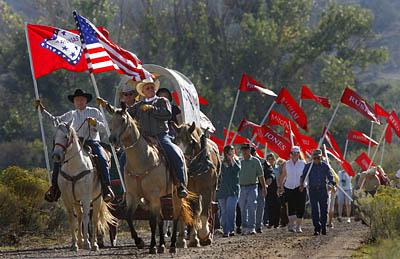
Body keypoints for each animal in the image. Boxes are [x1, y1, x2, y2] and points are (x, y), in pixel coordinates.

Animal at [52, 123, 116, 252]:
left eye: (66, 137)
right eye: (55, 136)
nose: (56, 156)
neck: (74, 167)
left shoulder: (86, 198)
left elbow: (87, 218)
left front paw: (88, 243)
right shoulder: (67, 198)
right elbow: (72, 219)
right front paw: (74, 244)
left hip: (97, 199)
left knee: (94, 219)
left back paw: (94, 244)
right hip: (77, 201)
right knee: (80, 216)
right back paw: (81, 242)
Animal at [108, 103, 198, 254]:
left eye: (123, 120)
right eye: (111, 121)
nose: (112, 140)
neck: (141, 160)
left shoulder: (153, 195)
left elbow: (154, 221)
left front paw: (154, 246)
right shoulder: (133, 196)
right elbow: (129, 216)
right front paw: (140, 242)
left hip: (175, 194)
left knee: (175, 216)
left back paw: (173, 245)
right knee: (161, 218)